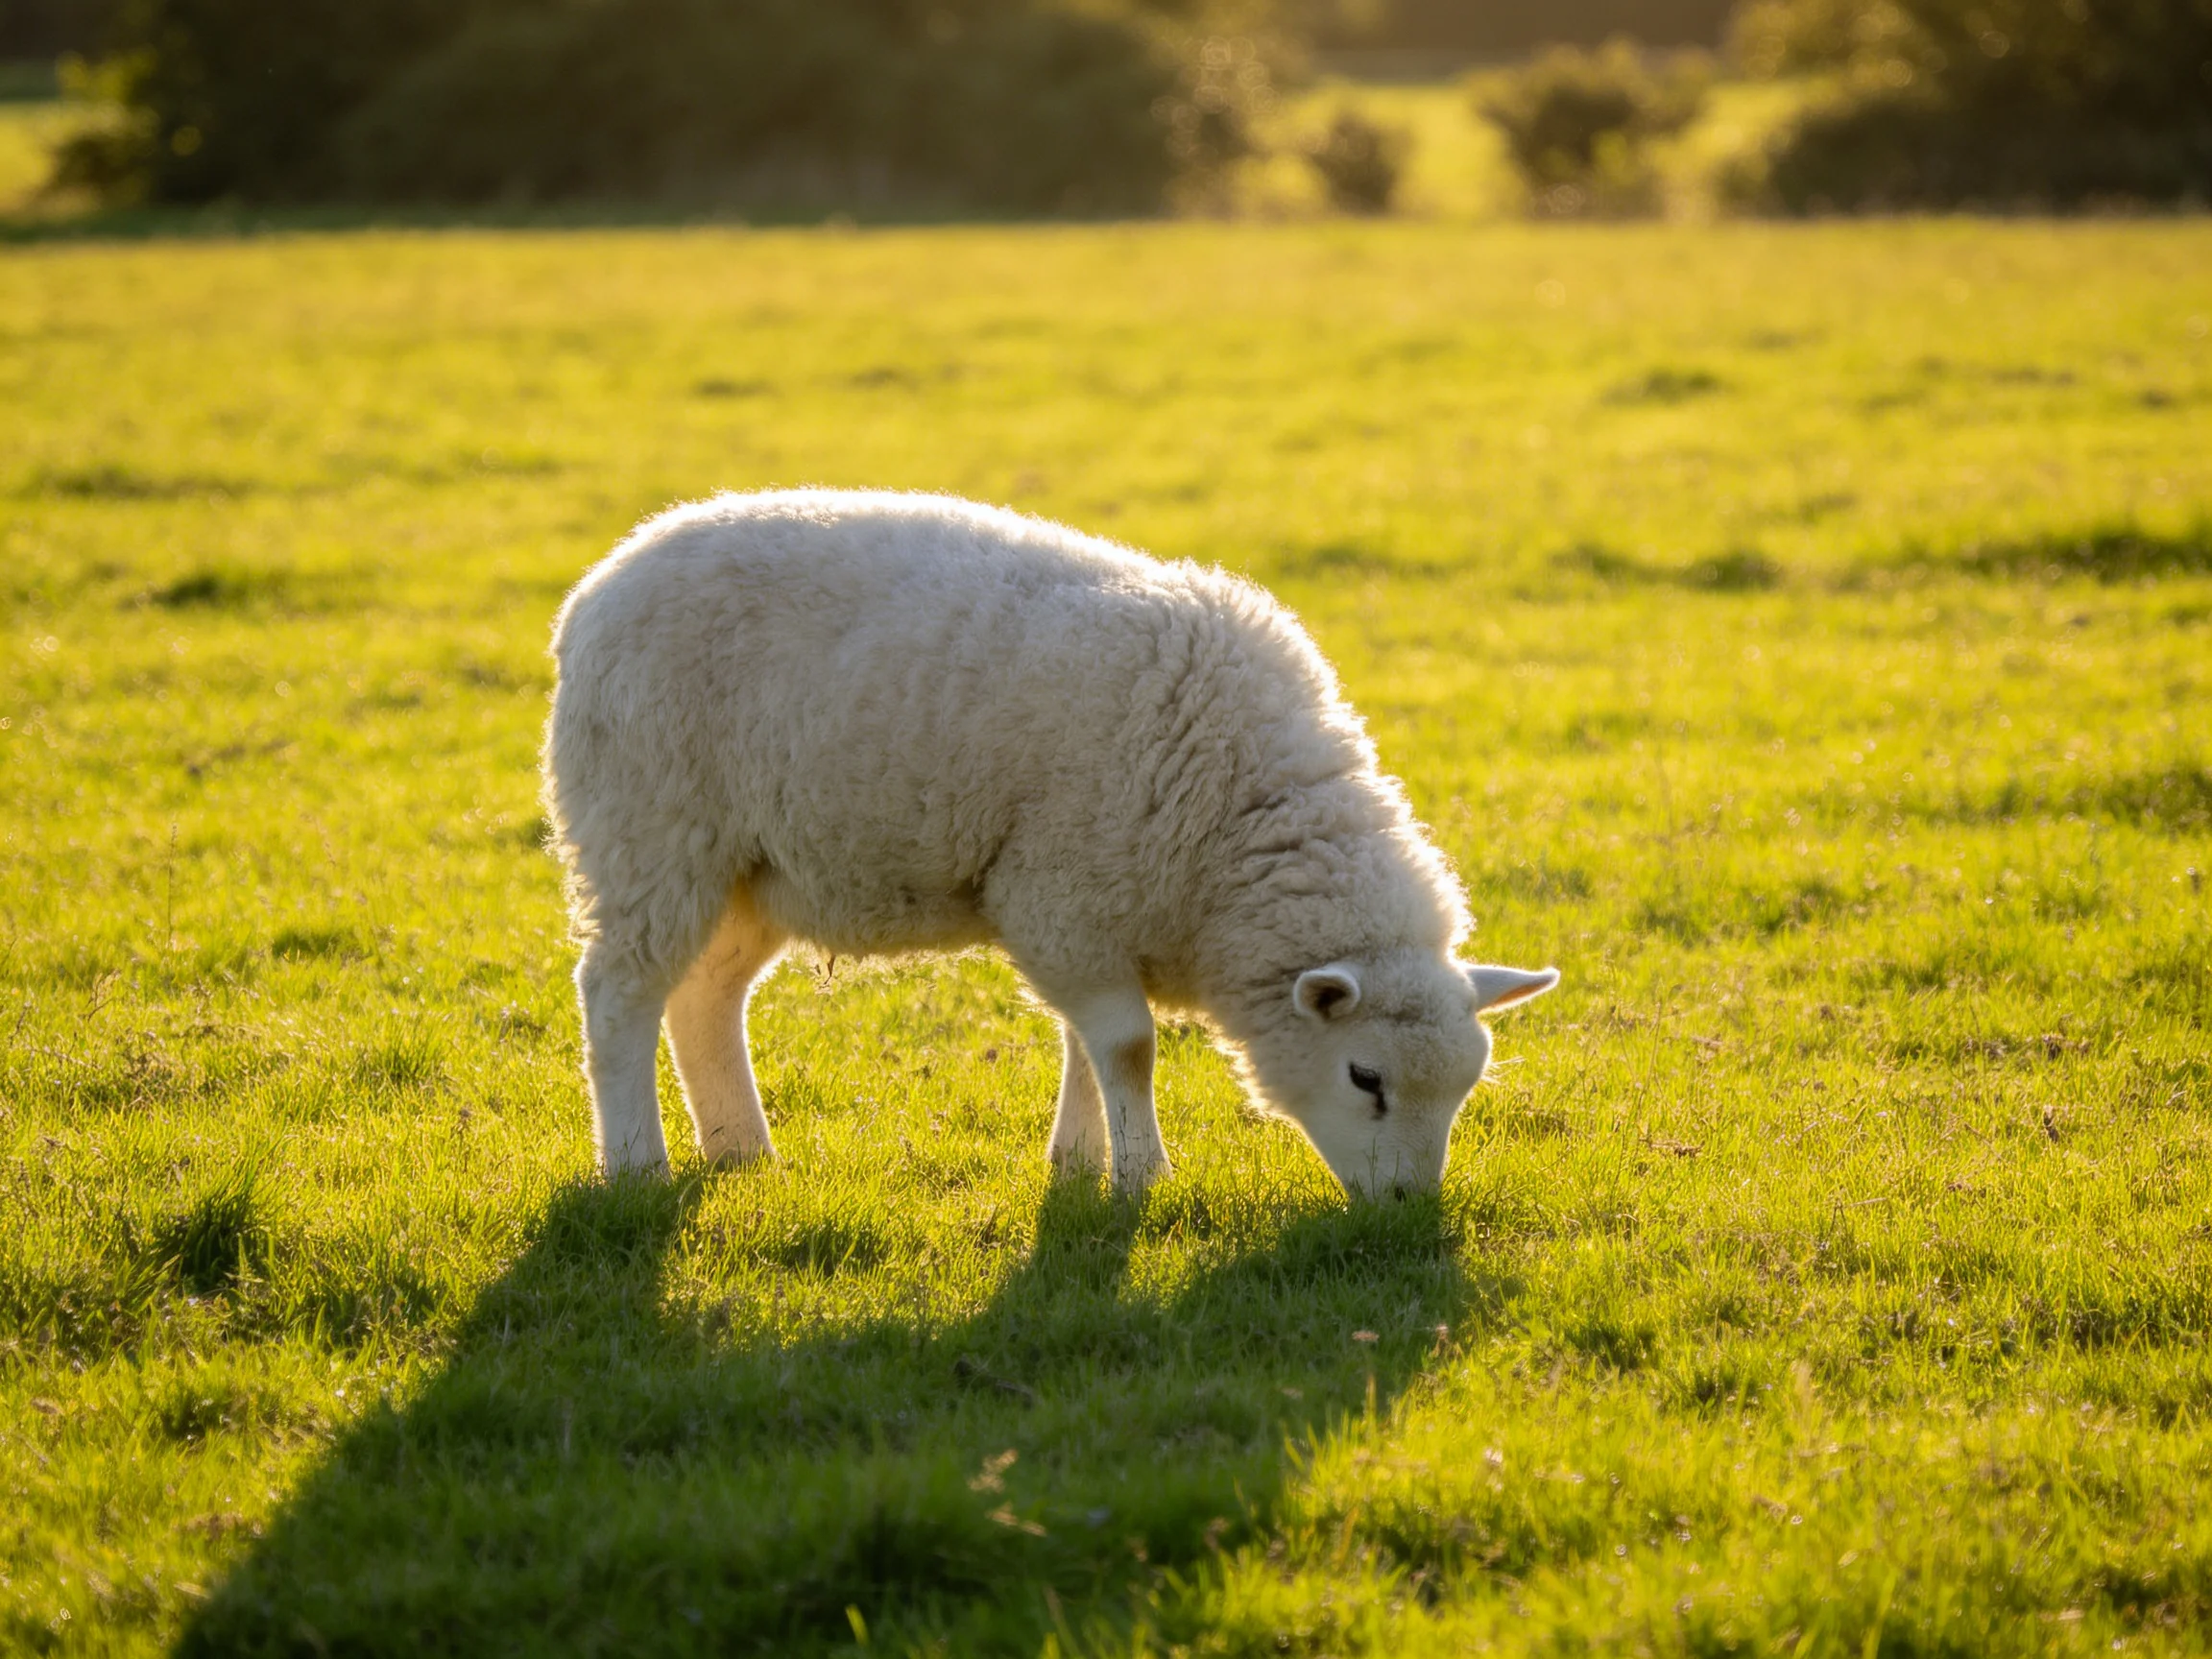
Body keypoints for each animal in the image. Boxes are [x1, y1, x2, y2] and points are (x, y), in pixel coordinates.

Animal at [542, 489, 1557, 1198]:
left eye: (1463, 1090)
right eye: (1365, 1077)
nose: (1408, 1213)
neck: (1236, 829)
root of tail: (598, 587)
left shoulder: (1093, 913)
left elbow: (1089, 1043)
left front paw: (1079, 1162)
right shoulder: (1061, 892)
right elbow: (1128, 1046)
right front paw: (1141, 1176)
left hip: (753, 868)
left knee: (705, 996)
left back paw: (743, 1153)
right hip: (650, 829)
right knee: (619, 995)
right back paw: (637, 1164)